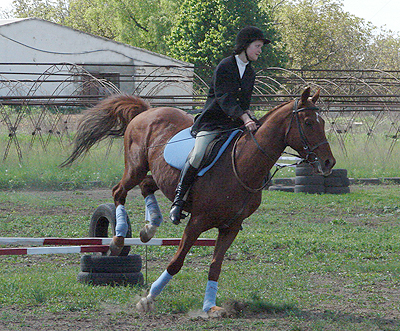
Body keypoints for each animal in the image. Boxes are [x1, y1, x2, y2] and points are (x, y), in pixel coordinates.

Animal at [62, 87, 334, 318]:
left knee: (147, 186)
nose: (328, 162)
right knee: (119, 192)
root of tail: (148, 111)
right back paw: (119, 238)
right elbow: (176, 262)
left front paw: (210, 307)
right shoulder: (197, 222)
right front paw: (147, 300)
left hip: (159, 176)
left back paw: (151, 226)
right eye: (309, 123)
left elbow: (215, 266)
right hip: (136, 168)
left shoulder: (230, 227)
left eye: (321, 123)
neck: (244, 164)